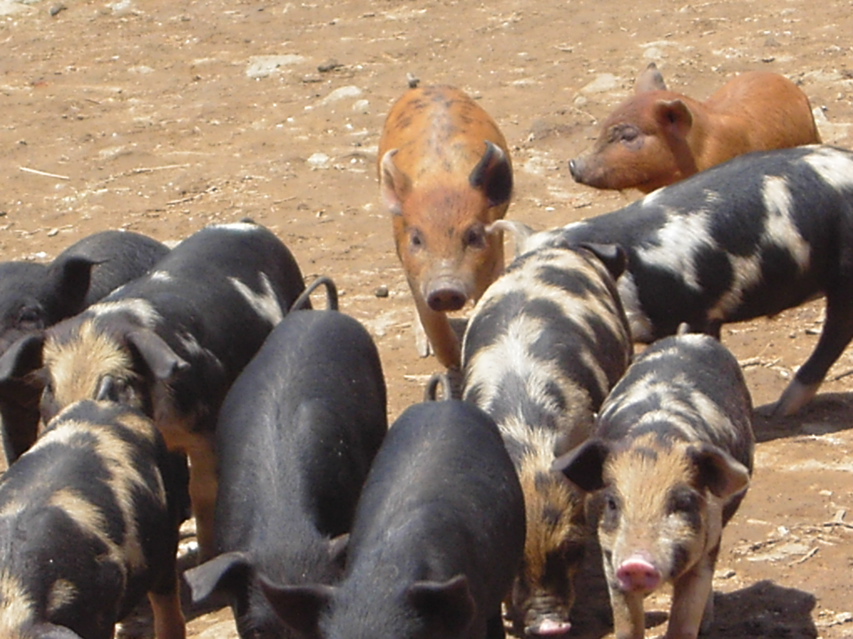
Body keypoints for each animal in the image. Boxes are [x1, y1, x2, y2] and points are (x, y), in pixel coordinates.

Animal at [378, 83, 514, 370]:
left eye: (473, 235)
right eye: (417, 239)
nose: (445, 290)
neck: (442, 176)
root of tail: (428, 86)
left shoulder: (493, 254)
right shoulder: (413, 270)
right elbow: (434, 325)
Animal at [553, 333, 754, 639]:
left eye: (683, 502)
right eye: (612, 503)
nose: (637, 564)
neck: (654, 439)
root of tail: (691, 336)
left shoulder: (706, 544)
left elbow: (684, 621)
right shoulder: (611, 557)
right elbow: (627, 624)